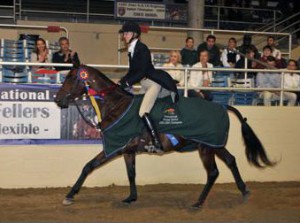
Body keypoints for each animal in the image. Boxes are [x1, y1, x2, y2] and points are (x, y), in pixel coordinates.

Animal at [54, 65, 274, 209]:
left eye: (71, 78)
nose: (57, 99)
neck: (115, 106)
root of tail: (222, 106)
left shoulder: (114, 147)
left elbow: (88, 166)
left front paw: (69, 195)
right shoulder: (127, 150)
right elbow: (131, 173)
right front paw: (131, 198)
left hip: (206, 148)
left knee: (213, 172)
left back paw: (198, 203)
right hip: (215, 145)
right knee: (231, 161)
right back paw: (244, 191)